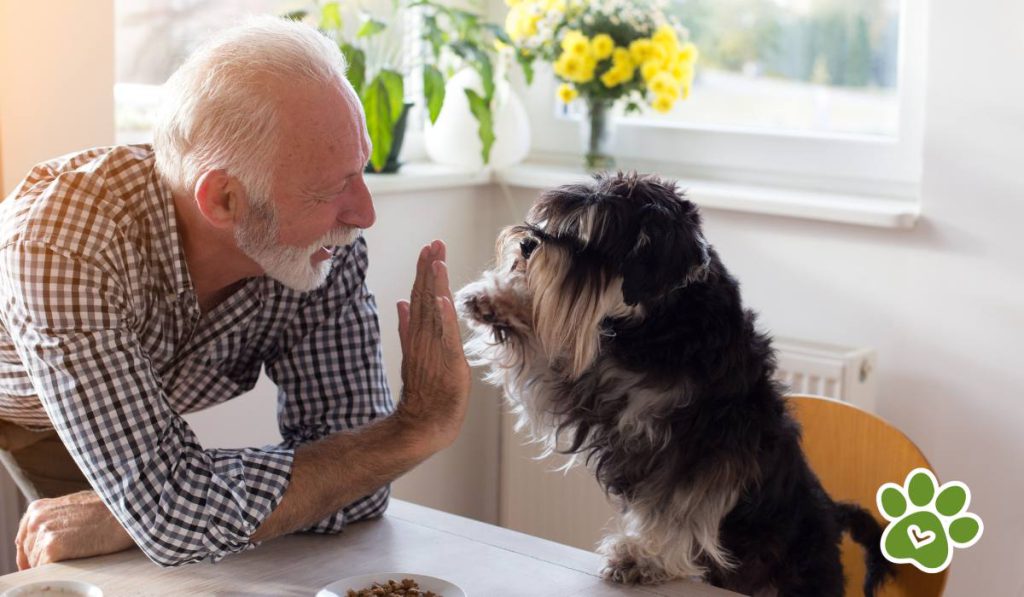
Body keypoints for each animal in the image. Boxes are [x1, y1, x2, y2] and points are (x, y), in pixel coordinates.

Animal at [452, 171, 892, 593]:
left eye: (592, 237)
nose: (527, 244)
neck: (662, 322)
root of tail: (831, 512)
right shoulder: (590, 388)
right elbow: (547, 356)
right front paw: (496, 300)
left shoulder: (702, 448)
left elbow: (678, 509)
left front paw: (642, 558)